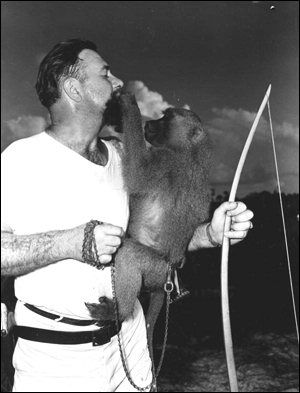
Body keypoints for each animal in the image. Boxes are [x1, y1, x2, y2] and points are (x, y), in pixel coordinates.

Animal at [85, 91, 212, 362]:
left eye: (167, 117)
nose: (150, 122)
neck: (189, 151)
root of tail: (170, 277)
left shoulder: (166, 161)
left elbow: (137, 175)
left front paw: (127, 103)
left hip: (156, 270)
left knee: (129, 254)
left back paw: (119, 311)